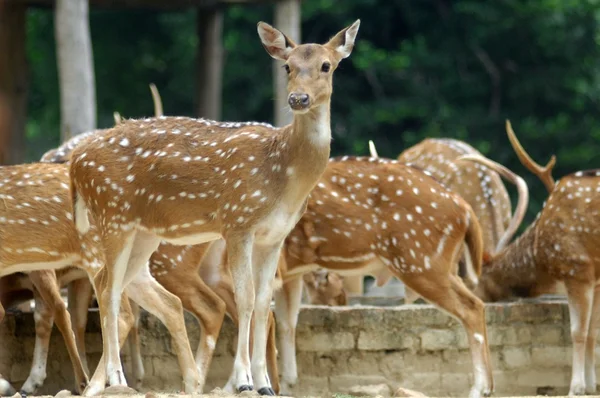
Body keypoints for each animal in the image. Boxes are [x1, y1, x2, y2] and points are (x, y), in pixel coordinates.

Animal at [66, 19, 360, 394]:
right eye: (287, 66)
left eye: (326, 65)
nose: (298, 98)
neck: (283, 176)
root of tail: (75, 162)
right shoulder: (238, 222)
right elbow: (246, 298)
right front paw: (245, 381)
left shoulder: (274, 236)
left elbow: (264, 302)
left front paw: (265, 383)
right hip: (111, 213)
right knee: (108, 290)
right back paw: (117, 378)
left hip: (142, 232)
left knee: (110, 283)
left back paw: (98, 384)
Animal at [276, 153, 528, 398]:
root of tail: (465, 209)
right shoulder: (288, 273)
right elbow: (286, 323)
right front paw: (285, 386)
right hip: (443, 265)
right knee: (476, 303)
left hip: (420, 262)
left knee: (472, 306)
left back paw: (479, 388)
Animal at [468, 120, 600, 394]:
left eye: (475, 280)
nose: (476, 300)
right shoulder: (596, 278)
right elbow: (593, 331)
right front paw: (593, 384)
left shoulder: (577, 268)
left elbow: (577, 332)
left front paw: (576, 388)